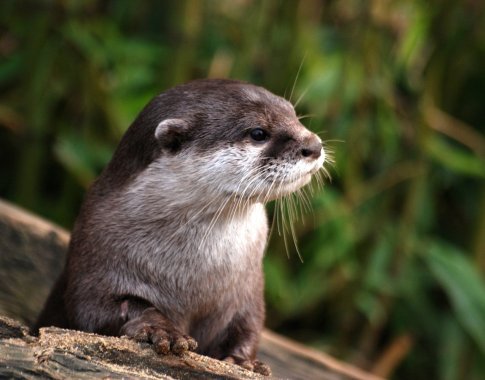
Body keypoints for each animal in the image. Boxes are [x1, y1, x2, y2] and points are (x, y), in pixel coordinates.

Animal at [35, 78, 326, 376]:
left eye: (293, 114)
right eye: (258, 133)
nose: (314, 145)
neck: (194, 277)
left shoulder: (248, 289)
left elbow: (249, 326)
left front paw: (243, 361)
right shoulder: (94, 256)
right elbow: (96, 309)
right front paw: (160, 329)